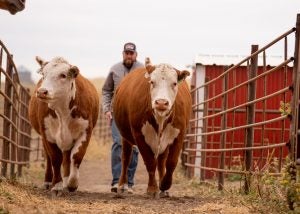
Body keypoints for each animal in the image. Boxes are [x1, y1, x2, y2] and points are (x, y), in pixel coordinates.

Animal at [28, 56, 99, 195]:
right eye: (43, 74)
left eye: (63, 75)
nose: (42, 92)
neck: (62, 111)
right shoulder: (47, 133)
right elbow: (55, 158)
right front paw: (57, 185)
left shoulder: (85, 132)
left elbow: (76, 156)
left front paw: (72, 184)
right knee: (49, 158)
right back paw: (48, 182)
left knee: (67, 158)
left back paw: (66, 181)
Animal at [112, 57, 192, 198]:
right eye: (152, 82)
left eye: (174, 83)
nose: (161, 103)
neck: (160, 119)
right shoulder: (139, 134)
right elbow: (149, 162)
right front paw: (152, 188)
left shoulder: (179, 135)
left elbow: (171, 162)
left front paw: (165, 185)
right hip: (125, 137)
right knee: (125, 158)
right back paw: (121, 185)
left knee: (161, 161)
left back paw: (163, 189)